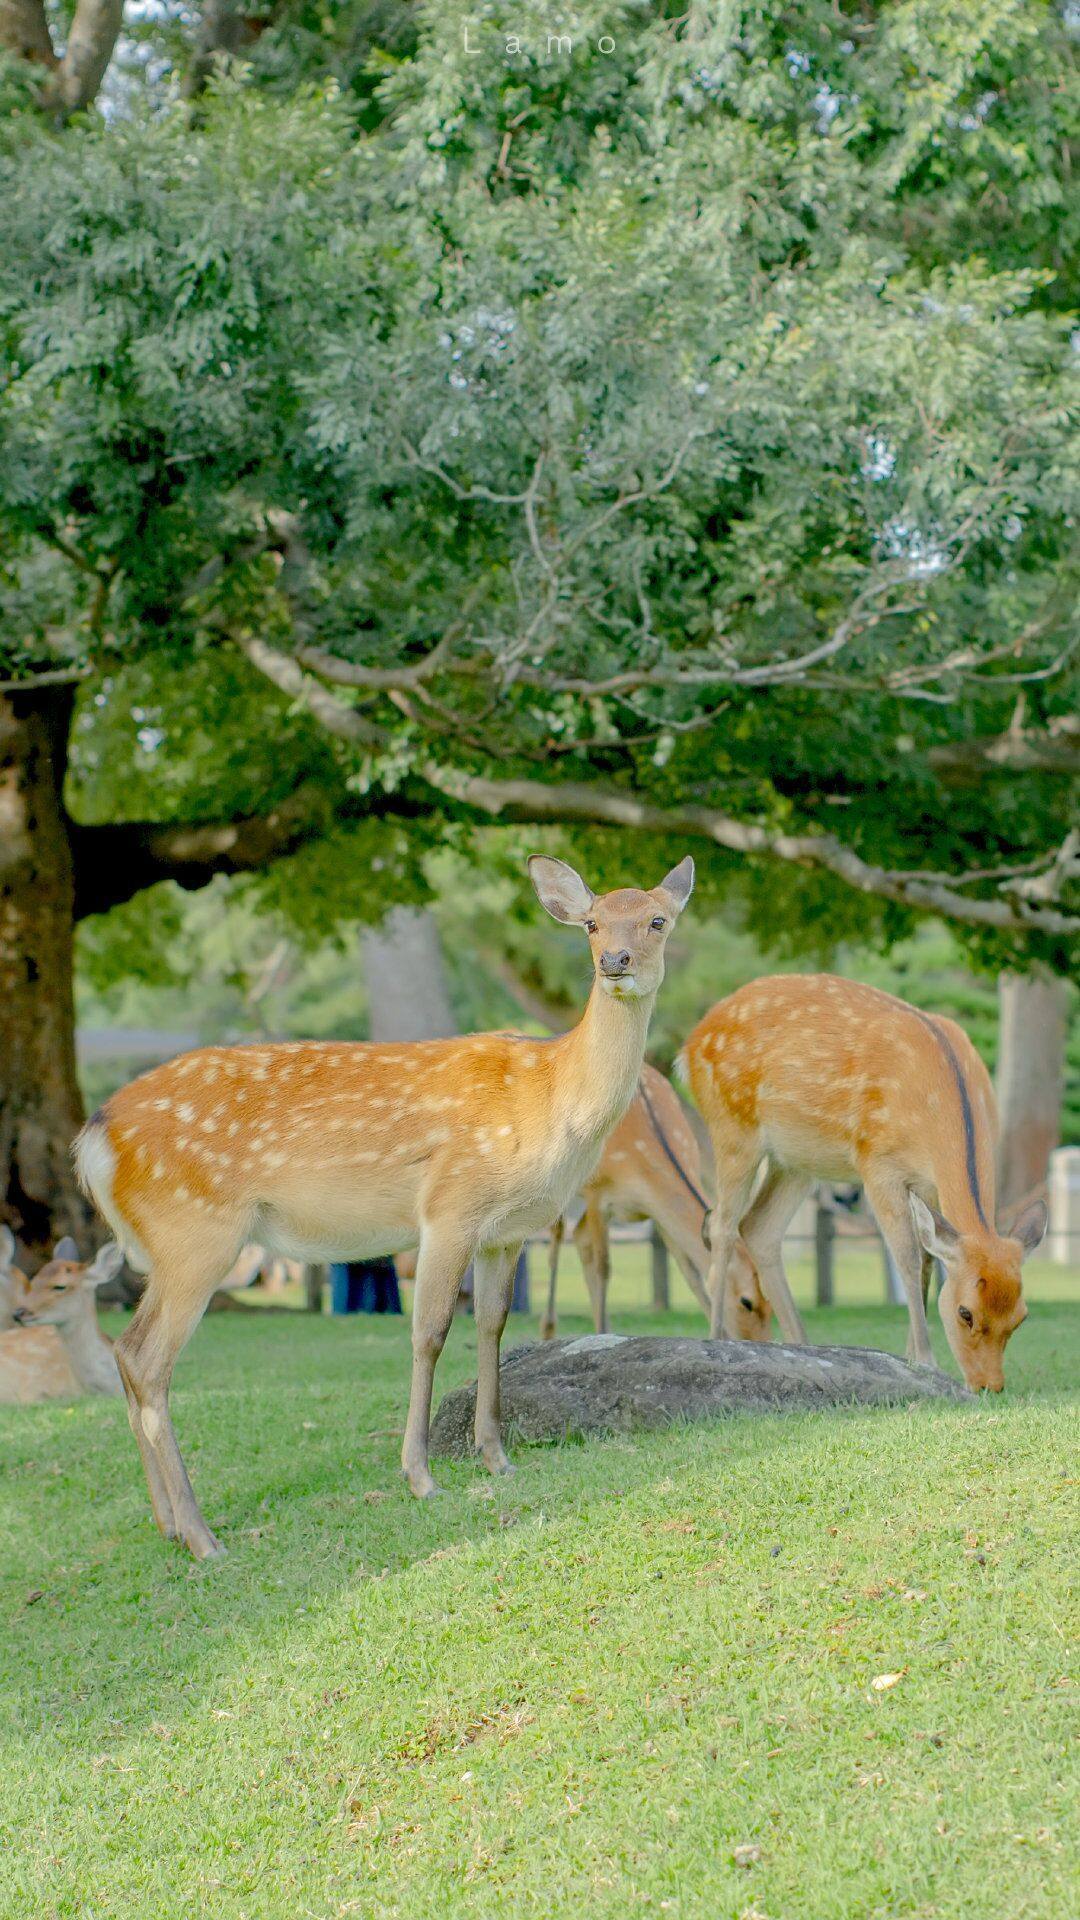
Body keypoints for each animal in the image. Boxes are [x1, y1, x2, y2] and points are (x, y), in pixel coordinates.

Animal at [73, 856, 687, 1559]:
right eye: (591, 922)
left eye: (657, 919)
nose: (615, 960)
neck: (552, 1102)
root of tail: (93, 1139)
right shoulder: (450, 1206)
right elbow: (429, 1332)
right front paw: (420, 1476)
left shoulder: (508, 1232)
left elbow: (492, 1327)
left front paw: (495, 1458)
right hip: (196, 1232)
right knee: (149, 1362)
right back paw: (204, 1538)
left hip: (167, 1247)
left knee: (126, 1352)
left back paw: (170, 1526)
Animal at [538, 1067, 764, 1351]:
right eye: (747, 1301)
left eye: (769, 1301)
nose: (760, 1341)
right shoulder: (596, 1195)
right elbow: (604, 1268)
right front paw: (601, 1334)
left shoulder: (657, 1215)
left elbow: (690, 1274)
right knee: (556, 1235)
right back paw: (548, 1329)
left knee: (578, 1236)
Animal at [680, 983, 1045, 1390]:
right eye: (965, 1312)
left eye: (1022, 1316)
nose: (988, 1385)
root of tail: (691, 1044)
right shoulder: (877, 1164)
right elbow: (907, 1257)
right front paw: (925, 1359)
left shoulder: (928, 1186)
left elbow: (927, 1262)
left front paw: (912, 1357)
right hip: (731, 1125)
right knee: (721, 1225)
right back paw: (716, 1339)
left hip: (795, 1160)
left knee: (758, 1226)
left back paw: (805, 1347)